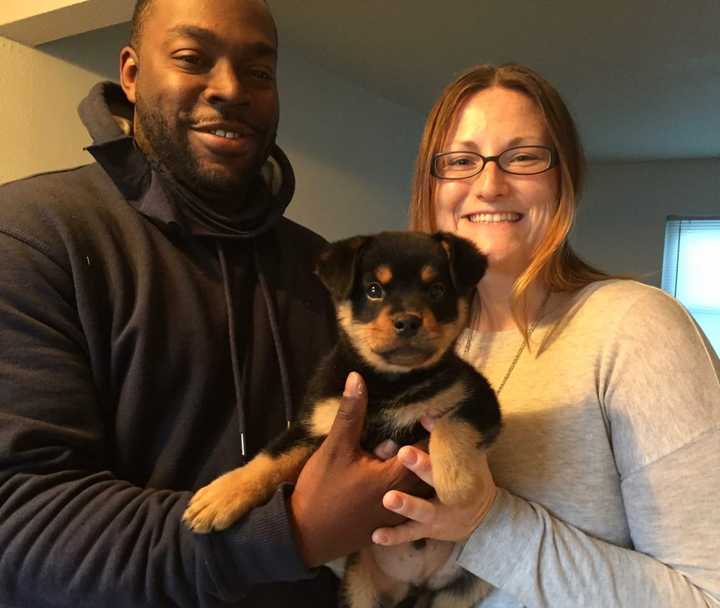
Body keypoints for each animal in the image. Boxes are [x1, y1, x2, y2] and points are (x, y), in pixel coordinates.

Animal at [183, 232, 500, 608]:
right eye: (374, 289)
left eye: (436, 289)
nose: (408, 321)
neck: (390, 383)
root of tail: (414, 584)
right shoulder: (315, 423)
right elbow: (269, 459)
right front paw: (221, 496)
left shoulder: (476, 396)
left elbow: (452, 424)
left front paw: (455, 483)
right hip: (360, 584)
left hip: (463, 588)